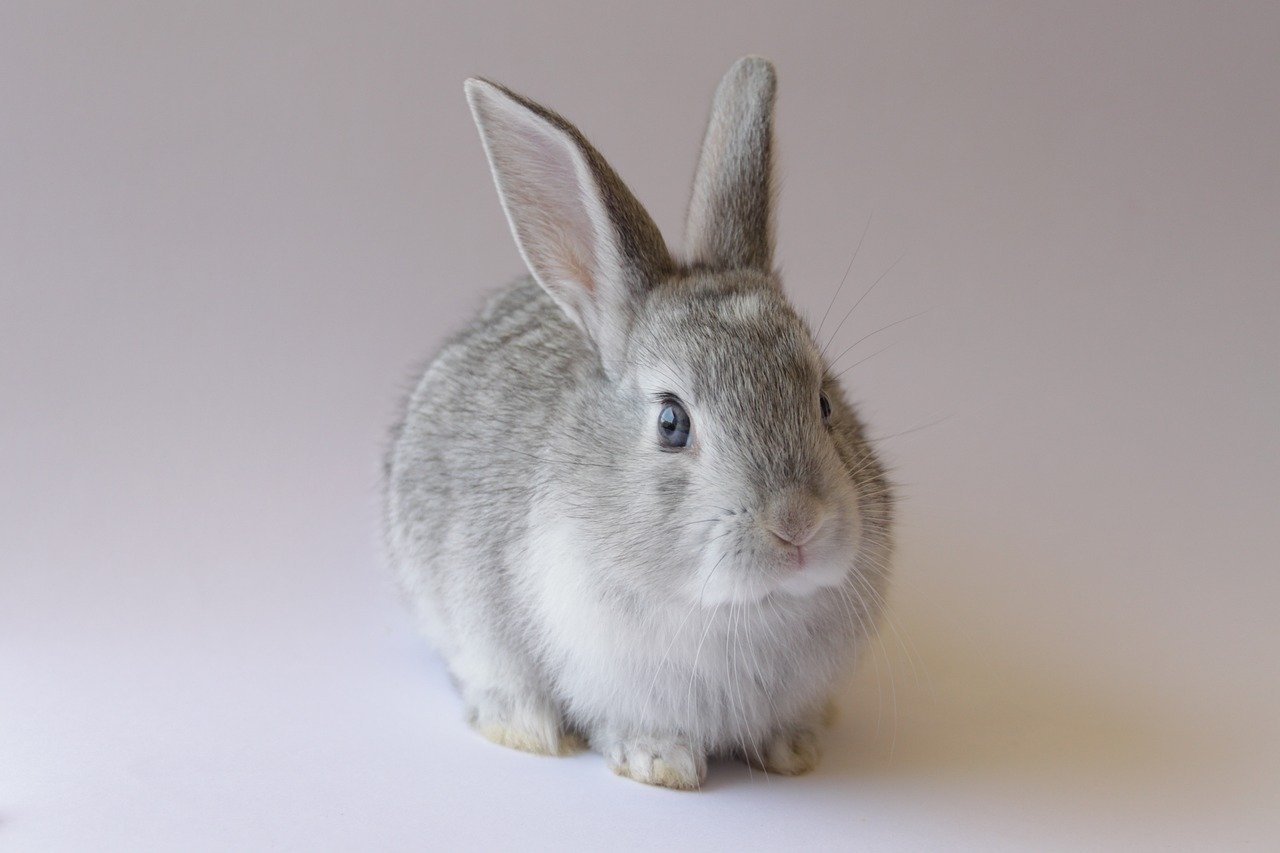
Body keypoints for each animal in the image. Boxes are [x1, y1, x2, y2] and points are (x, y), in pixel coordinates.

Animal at [383, 56, 893, 790]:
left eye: (824, 401)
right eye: (672, 422)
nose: (797, 521)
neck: (743, 606)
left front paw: (794, 750)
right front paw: (662, 763)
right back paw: (527, 728)